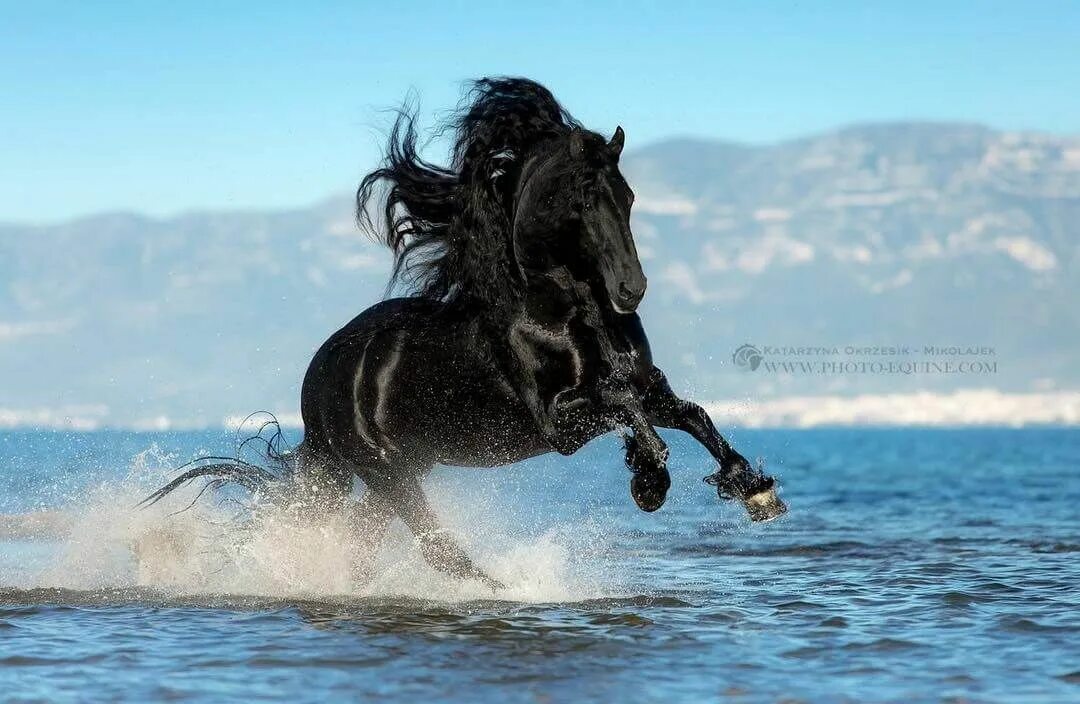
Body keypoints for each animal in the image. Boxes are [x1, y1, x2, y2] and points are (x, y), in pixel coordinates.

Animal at [145, 78, 786, 587]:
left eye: (627, 195)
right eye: (583, 199)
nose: (631, 289)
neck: (563, 311)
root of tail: (319, 380)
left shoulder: (649, 385)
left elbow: (689, 412)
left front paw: (753, 489)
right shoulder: (556, 422)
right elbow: (622, 402)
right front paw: (650, 476)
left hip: (402, 470)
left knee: (364, 543)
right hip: (386, 474)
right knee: (434, 547)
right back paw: (505, 586)